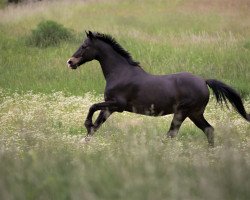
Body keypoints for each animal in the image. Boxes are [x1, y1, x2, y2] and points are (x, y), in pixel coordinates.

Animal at [67, 31, 249, 147]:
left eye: (84, 46)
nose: (70, 62)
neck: (120, 72)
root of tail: (203, 81)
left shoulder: (117, 104)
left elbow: (92, 107)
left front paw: (86, 124)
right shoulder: (110, 107)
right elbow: (95, 127)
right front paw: (84, 143)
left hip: (183, 112)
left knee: (172, 133)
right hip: (194, 113)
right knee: (208, 130)